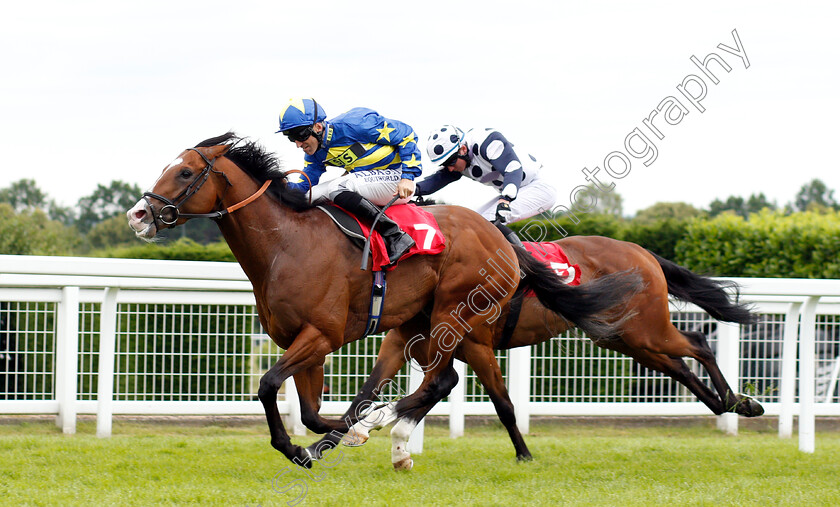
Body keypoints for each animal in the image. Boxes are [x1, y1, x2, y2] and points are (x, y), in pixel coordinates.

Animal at [124, 134, 640, 468]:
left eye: (185, 171)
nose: (139, 214)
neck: (285, 243)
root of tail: (498, 236)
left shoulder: (322, 334)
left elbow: (269, 385)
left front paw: (315, 441)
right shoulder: (303, 342)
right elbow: (308, 411)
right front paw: (321, 441)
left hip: (456, 313)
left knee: (442, 380)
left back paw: (395, 428)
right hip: (417, 321)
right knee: (440, 380)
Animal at [312, 234, 764, 468]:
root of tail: (642, 251)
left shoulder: (476, 344)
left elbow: (500, 403)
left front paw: (524, 454)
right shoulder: (405, 341)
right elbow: (372, 391)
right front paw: (333, 441)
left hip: (645, 330)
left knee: (698, 344)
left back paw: (739, 401)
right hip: (623, 338)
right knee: (679, 367)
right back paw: (729, 403)